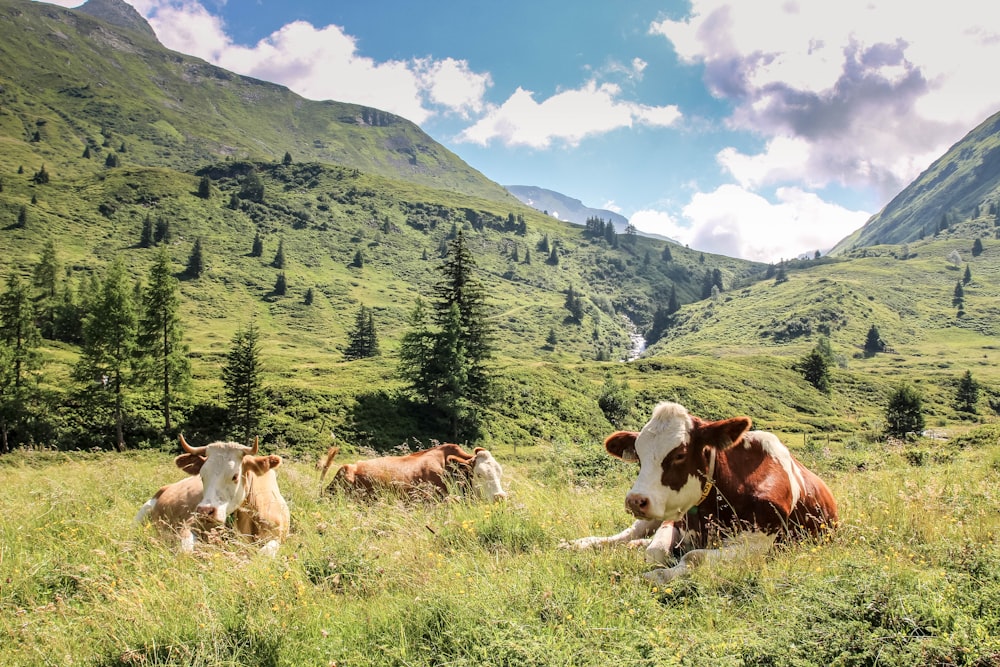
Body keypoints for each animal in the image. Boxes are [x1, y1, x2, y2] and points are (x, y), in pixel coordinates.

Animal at [134, 436, 290, 556]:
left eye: (235, 476)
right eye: (202, 475)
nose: (205, 511)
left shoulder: (278, 537)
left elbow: (263, 554)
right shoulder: (189, 524)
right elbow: (185, 551)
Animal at [568, 402, 840, 584]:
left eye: (680, 454)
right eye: (639, 456)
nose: (636, 500)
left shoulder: (758, 544)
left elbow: (693, 558)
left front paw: (651, 577)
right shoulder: (674, 519)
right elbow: (655, 552)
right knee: (628, 534)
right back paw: (579, 543)